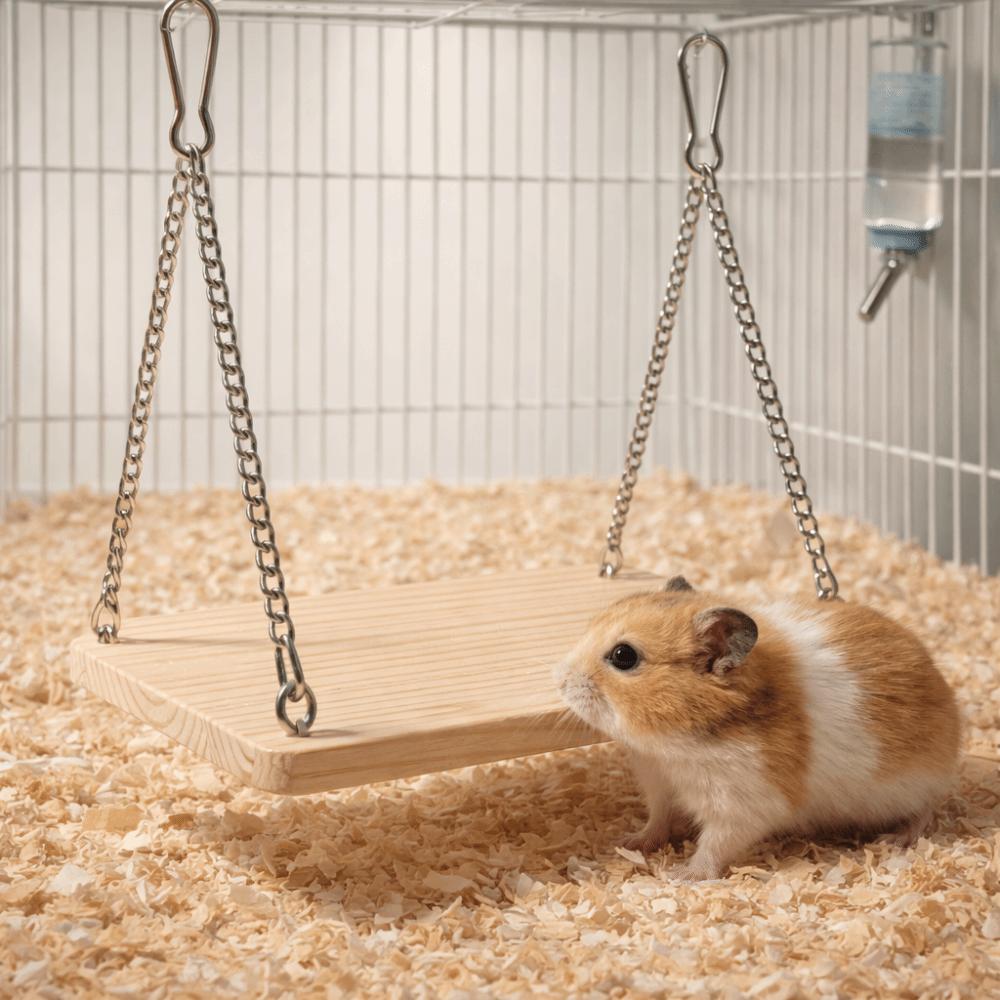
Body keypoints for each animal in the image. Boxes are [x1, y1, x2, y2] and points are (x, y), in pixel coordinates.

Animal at [556, 575, 960, 881]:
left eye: (623, 656)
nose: (558, 679)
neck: (674, 745)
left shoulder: (743, 804)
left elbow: (714, 845)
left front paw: (681, 876)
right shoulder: (661, 786)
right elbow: (658, 820)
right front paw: (630, 842)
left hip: (920, 781)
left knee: (927, 808)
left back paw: (895, 840)